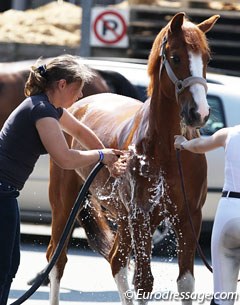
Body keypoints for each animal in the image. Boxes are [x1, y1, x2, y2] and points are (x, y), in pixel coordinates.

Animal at [46, 12, 218, 304]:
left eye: (206, 59)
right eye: (176, 57)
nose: (200, 113)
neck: (167, 149)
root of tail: (77, 105)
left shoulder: (188, 218)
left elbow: (185, 282)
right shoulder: (141, 216)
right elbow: (144, 282)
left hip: (123, 220)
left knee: (116, 261)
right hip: (66, 204)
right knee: (57, 259)